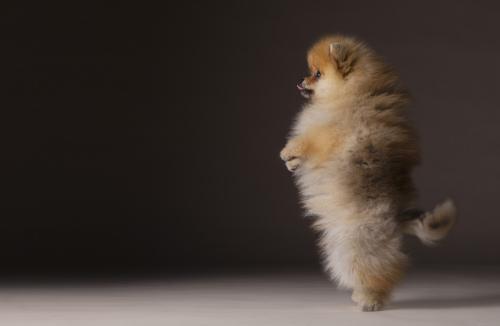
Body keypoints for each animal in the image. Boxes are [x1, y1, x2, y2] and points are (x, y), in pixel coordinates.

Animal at [280, 35, 456, 310]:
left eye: (317, 74)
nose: (301, 80)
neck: (353, 93)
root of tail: (397, 219)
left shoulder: (331, 135)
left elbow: (309, 140)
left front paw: (289, 151)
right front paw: (292, 163)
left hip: (356, 244)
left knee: (382, 269)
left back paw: (370, 299)